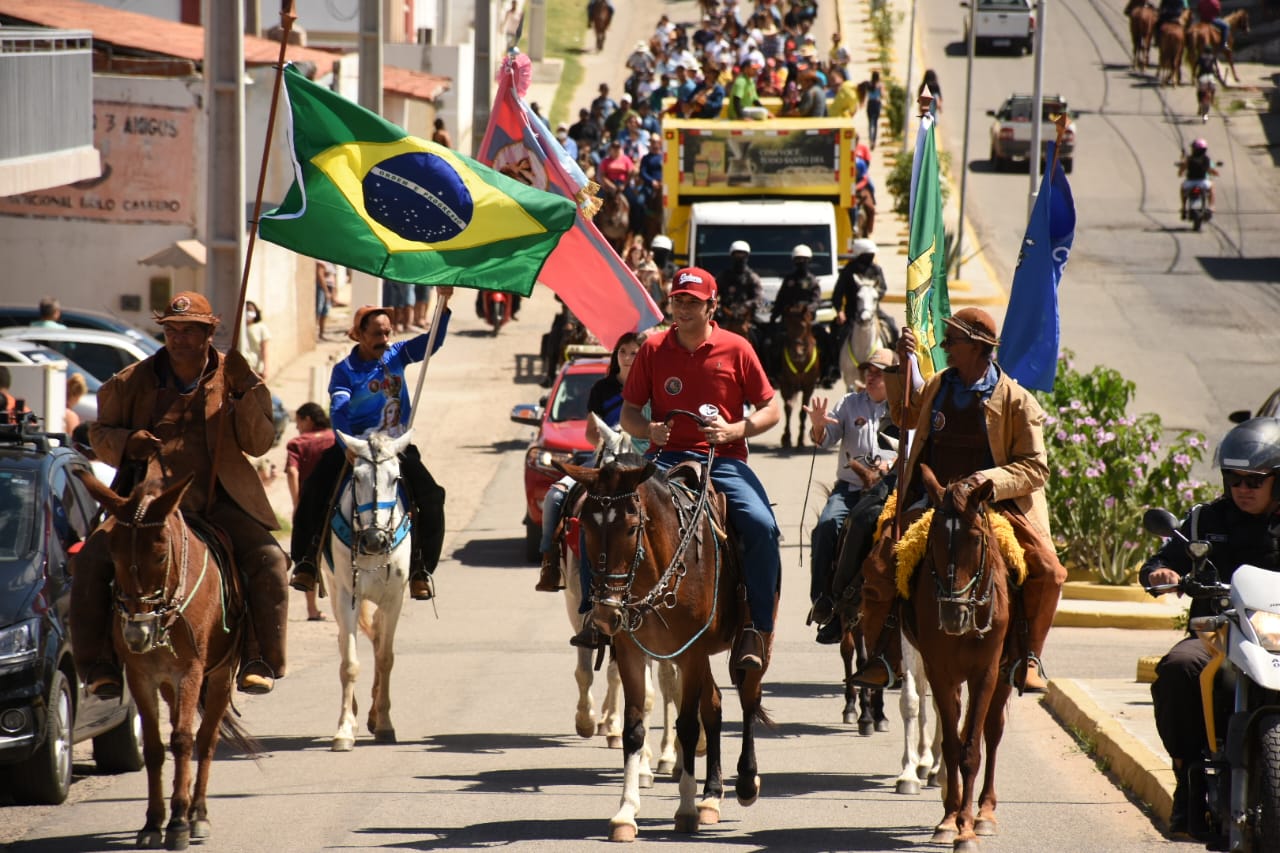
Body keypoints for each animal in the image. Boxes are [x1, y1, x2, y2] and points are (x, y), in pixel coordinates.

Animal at [76, 471, 254, 850]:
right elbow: (156, 748)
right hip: (170, 685)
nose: (136, 635)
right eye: (112, 556)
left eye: (159, 556)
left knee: (206, 738)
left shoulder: (191, 672)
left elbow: (185, 740)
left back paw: (197, 813)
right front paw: (153, 821)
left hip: (219, 675)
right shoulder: (141, 676)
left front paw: (178, 824)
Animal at [322, 427, 412, 747]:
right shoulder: (347, 594)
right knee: (343, 640)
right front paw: (344, 729)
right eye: (357, 478)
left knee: (376, 639)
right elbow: (349, 663)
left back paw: (373, 715)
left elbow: (385, 658)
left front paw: (384, 724)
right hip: (335, 591)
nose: (375, 540)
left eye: (396, 478)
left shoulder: (394, 598)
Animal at [563, 440, 778, 840]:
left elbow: (689, 725)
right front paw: (626, 812)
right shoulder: (632, 650)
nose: (605, 615)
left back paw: (744, 782)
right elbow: (634, 728)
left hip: (751, 645)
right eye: (584, 524)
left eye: (632, 527)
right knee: (714, 704)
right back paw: (711, 796)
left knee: (747, 697)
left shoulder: (690, 651)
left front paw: (685, 810)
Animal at [768, 302, 819, 448]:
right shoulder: (786, 385)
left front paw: (801, 440)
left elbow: (803, 412)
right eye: (787, 326)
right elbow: (788, 408)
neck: (800, 363)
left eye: (804, 325)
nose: (797, 353)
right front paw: (786, 437)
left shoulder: (809, 387)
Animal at [911, 466, 1018, 850]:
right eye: (934, 538)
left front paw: (967, 828)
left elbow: (972, 749)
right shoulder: (939, 671)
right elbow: (953, 745)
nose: (953, 615)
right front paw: (948, 821)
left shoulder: (986, 673)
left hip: (1003, 674)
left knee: (992, 730)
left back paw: (984, 812)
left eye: (974, 538)